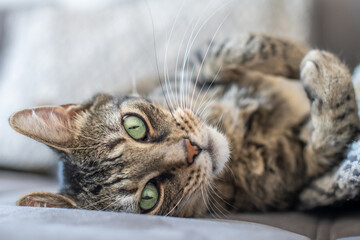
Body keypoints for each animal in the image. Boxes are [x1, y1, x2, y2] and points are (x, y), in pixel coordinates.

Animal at [9, 32, 358, 217]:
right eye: (150, 196)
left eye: (135, 127)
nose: (191, 149)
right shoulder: (296, 171)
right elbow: (336, 129)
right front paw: (325, 72)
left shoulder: (193, 64)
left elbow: (242, 46)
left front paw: (300, 54)